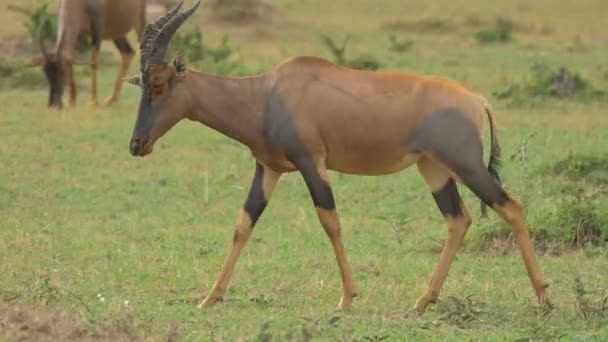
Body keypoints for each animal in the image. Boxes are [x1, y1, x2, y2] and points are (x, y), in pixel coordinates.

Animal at [128, 0, 552, 312]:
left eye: (160, 83)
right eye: (141, 84)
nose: (137, 144)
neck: (267, 94)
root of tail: (477, 99)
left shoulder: (311, 162)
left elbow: (330, 221)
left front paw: (347, 298)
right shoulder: (268, 168)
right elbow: (243, 224)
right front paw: (210, 298)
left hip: (466, 165)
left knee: (510, 206)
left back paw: (544, 297)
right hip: (434, 169)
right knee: (458, 220)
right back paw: (422, 301)